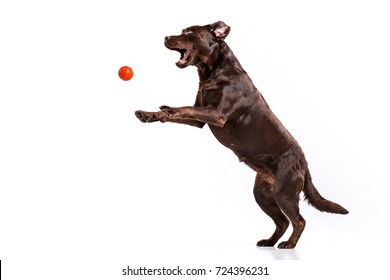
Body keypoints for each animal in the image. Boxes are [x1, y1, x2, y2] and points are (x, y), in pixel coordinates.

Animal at [136, 20, 348, 248]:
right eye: (182, 31)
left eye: (190, 32)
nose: (166, 37)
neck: (213, 72)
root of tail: (304, 162)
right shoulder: (199, 120)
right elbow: (179, 113)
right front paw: (148, 115)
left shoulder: (217, 115)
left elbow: (184, 108)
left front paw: (169, 108)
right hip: (263, 195)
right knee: (282, 222)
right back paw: (269, 241)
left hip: (285, 193)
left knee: (299, 221)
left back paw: (289, 244)